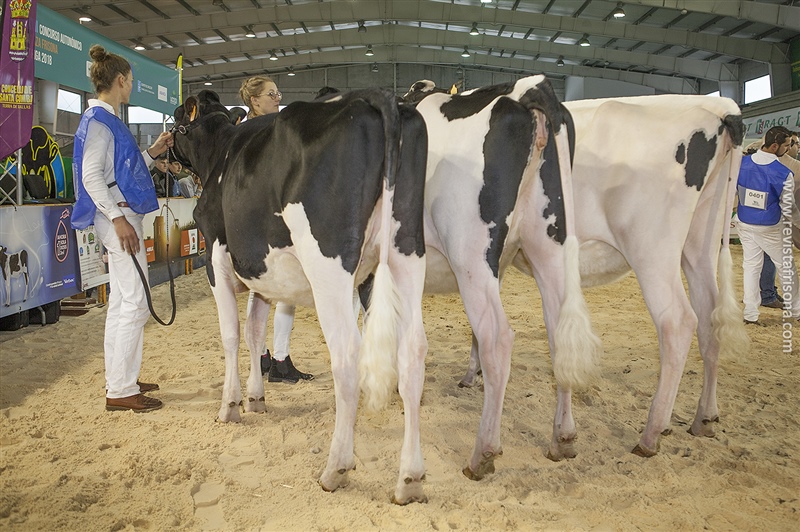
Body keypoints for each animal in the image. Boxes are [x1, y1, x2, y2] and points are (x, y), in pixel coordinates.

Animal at [170, 88, 432, 502]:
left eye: (177, 118)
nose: (159, 151)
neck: (219, 153)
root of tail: (374, 97)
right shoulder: (261, 274)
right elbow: (254, 331)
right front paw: (256, 398)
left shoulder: (214, 254)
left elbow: (231, 335)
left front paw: (231, 405)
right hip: (406, 252)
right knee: (413, 351)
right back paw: (410, 478)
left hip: (329, 266)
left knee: (347, 353)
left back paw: (335, 468)